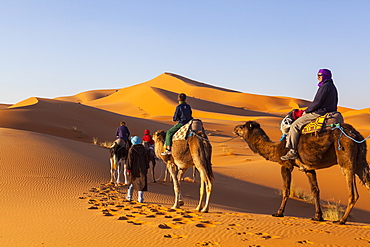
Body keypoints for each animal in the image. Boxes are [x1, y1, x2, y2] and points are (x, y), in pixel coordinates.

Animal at [234, 120, 370, 225]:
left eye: (243, 126)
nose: (235, 128)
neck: (276, 148)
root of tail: (356, 135)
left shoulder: (286, 165)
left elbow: (286, 190)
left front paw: (278, 213)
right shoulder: (309, 169)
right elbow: (315, 190)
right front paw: (318, 217)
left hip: (346, 158)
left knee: (353, 193)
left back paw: (341, 220)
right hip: (359, 162)